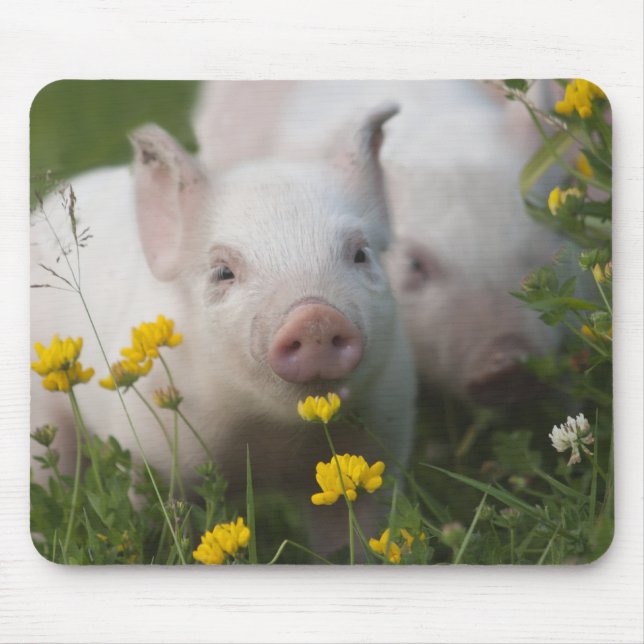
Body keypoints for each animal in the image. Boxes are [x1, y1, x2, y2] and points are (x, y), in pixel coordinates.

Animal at [30, 103, 416, 555]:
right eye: (223, 272)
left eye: (360, 254)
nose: (315, 318)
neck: (269, 440)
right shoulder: (152, 454)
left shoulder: (381, 433)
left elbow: (354, 527)